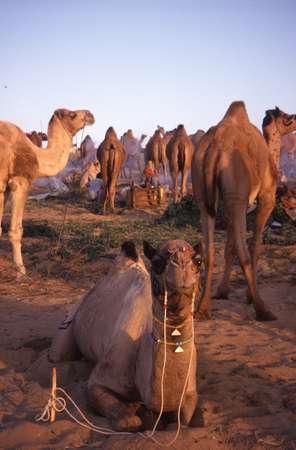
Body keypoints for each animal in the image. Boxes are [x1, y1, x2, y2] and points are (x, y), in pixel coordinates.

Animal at [0, 110, 94, 278]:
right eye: (72, 114)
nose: (90, 114)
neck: (37, 155)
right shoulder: (19, 182)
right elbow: (16, 230)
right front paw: (21, 271)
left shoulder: (4, 189)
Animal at [50, 239, 201, 432]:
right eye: (157, 263)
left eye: (198, 261)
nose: (181, 263)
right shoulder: (98, 382)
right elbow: (128, 420)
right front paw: (134, 413)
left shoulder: (190, 391)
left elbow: (181, 422)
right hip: (71, 318)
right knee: (58, 355)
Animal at [191, 100, 294, 322]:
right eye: (287, 118)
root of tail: (215, 148)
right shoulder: (265, 197)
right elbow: (255, 245)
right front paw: (247, 296)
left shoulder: (236, 205)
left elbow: (228, 247)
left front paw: (222, 291)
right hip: (236, 192)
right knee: (244, 250)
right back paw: (263, 310)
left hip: (204, 194)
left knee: (210, 248)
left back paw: (202, 309)